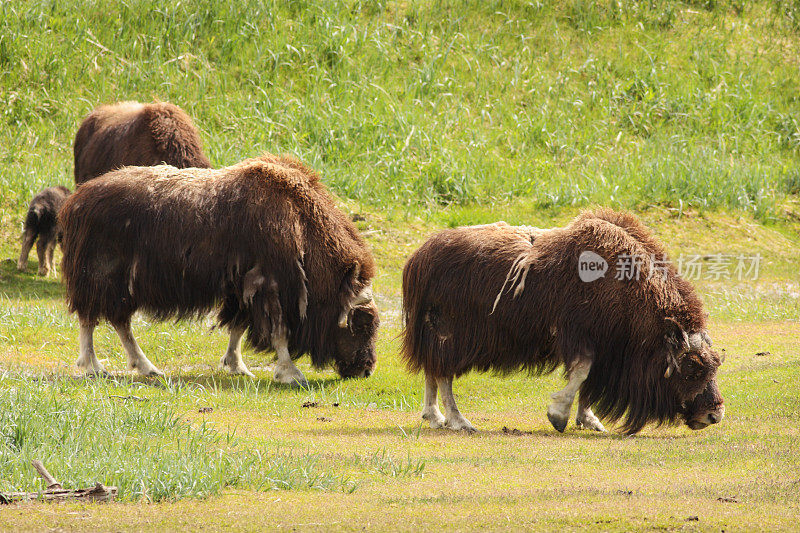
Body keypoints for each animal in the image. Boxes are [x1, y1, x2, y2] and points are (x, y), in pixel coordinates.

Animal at [59, 153, 378, 382]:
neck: (302, 225)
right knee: (90, 319)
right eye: (361, 322)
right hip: (99, 277)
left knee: (118, 322)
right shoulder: (271, 286)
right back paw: (94, 366)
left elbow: (237, 326)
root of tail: (76, 201)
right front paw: (290, 373)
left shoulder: (243, 288)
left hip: (119, 286)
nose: (365, 370)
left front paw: (237, 366)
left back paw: (147, 367)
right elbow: (279, 332)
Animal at [404, 208, 720, 432]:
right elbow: (581, 373)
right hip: (450, 336)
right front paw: (558, 415)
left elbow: (588, 382)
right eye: (692, 368)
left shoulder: (604, 346)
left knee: (431, 372)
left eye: (714, 364)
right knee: (443, 375)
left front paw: (589, 419)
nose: (714, 415)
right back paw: (459, 422)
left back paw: (435, 418)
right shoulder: (580, 336)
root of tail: (419, 257)